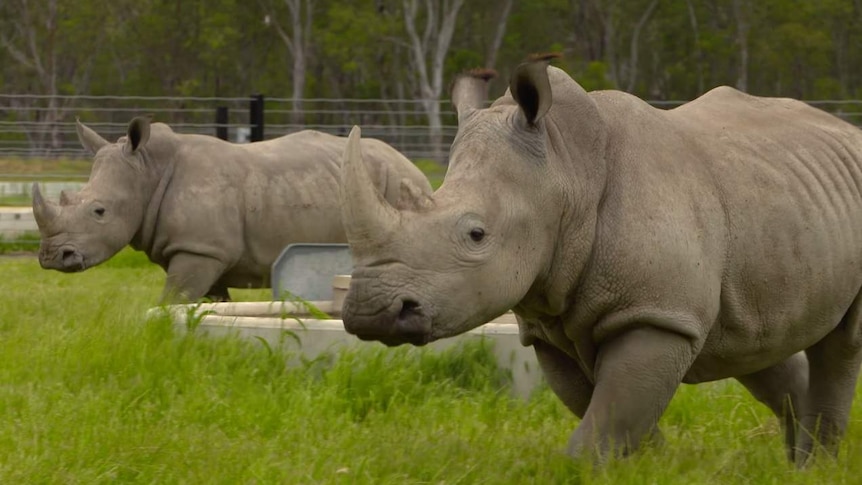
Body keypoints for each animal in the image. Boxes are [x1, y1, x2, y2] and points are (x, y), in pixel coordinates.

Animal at [33, 115, 432, 300]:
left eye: (98, 211)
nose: (52, 257)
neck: (148, 169)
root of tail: (414, 166)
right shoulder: (207, 254)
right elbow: (201, 304)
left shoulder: (199, 249)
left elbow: (171, 301)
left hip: (399, 183)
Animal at [340, 56, 862, 466]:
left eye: (476, 234)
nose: (369, 311)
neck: (565, 170)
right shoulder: (549, 325)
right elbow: (609, 417)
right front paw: (653, 468)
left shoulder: (656, 314)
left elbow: (607, 420)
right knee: (753, 346)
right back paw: (794, 465)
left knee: (839, 347)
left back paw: (815, 468)